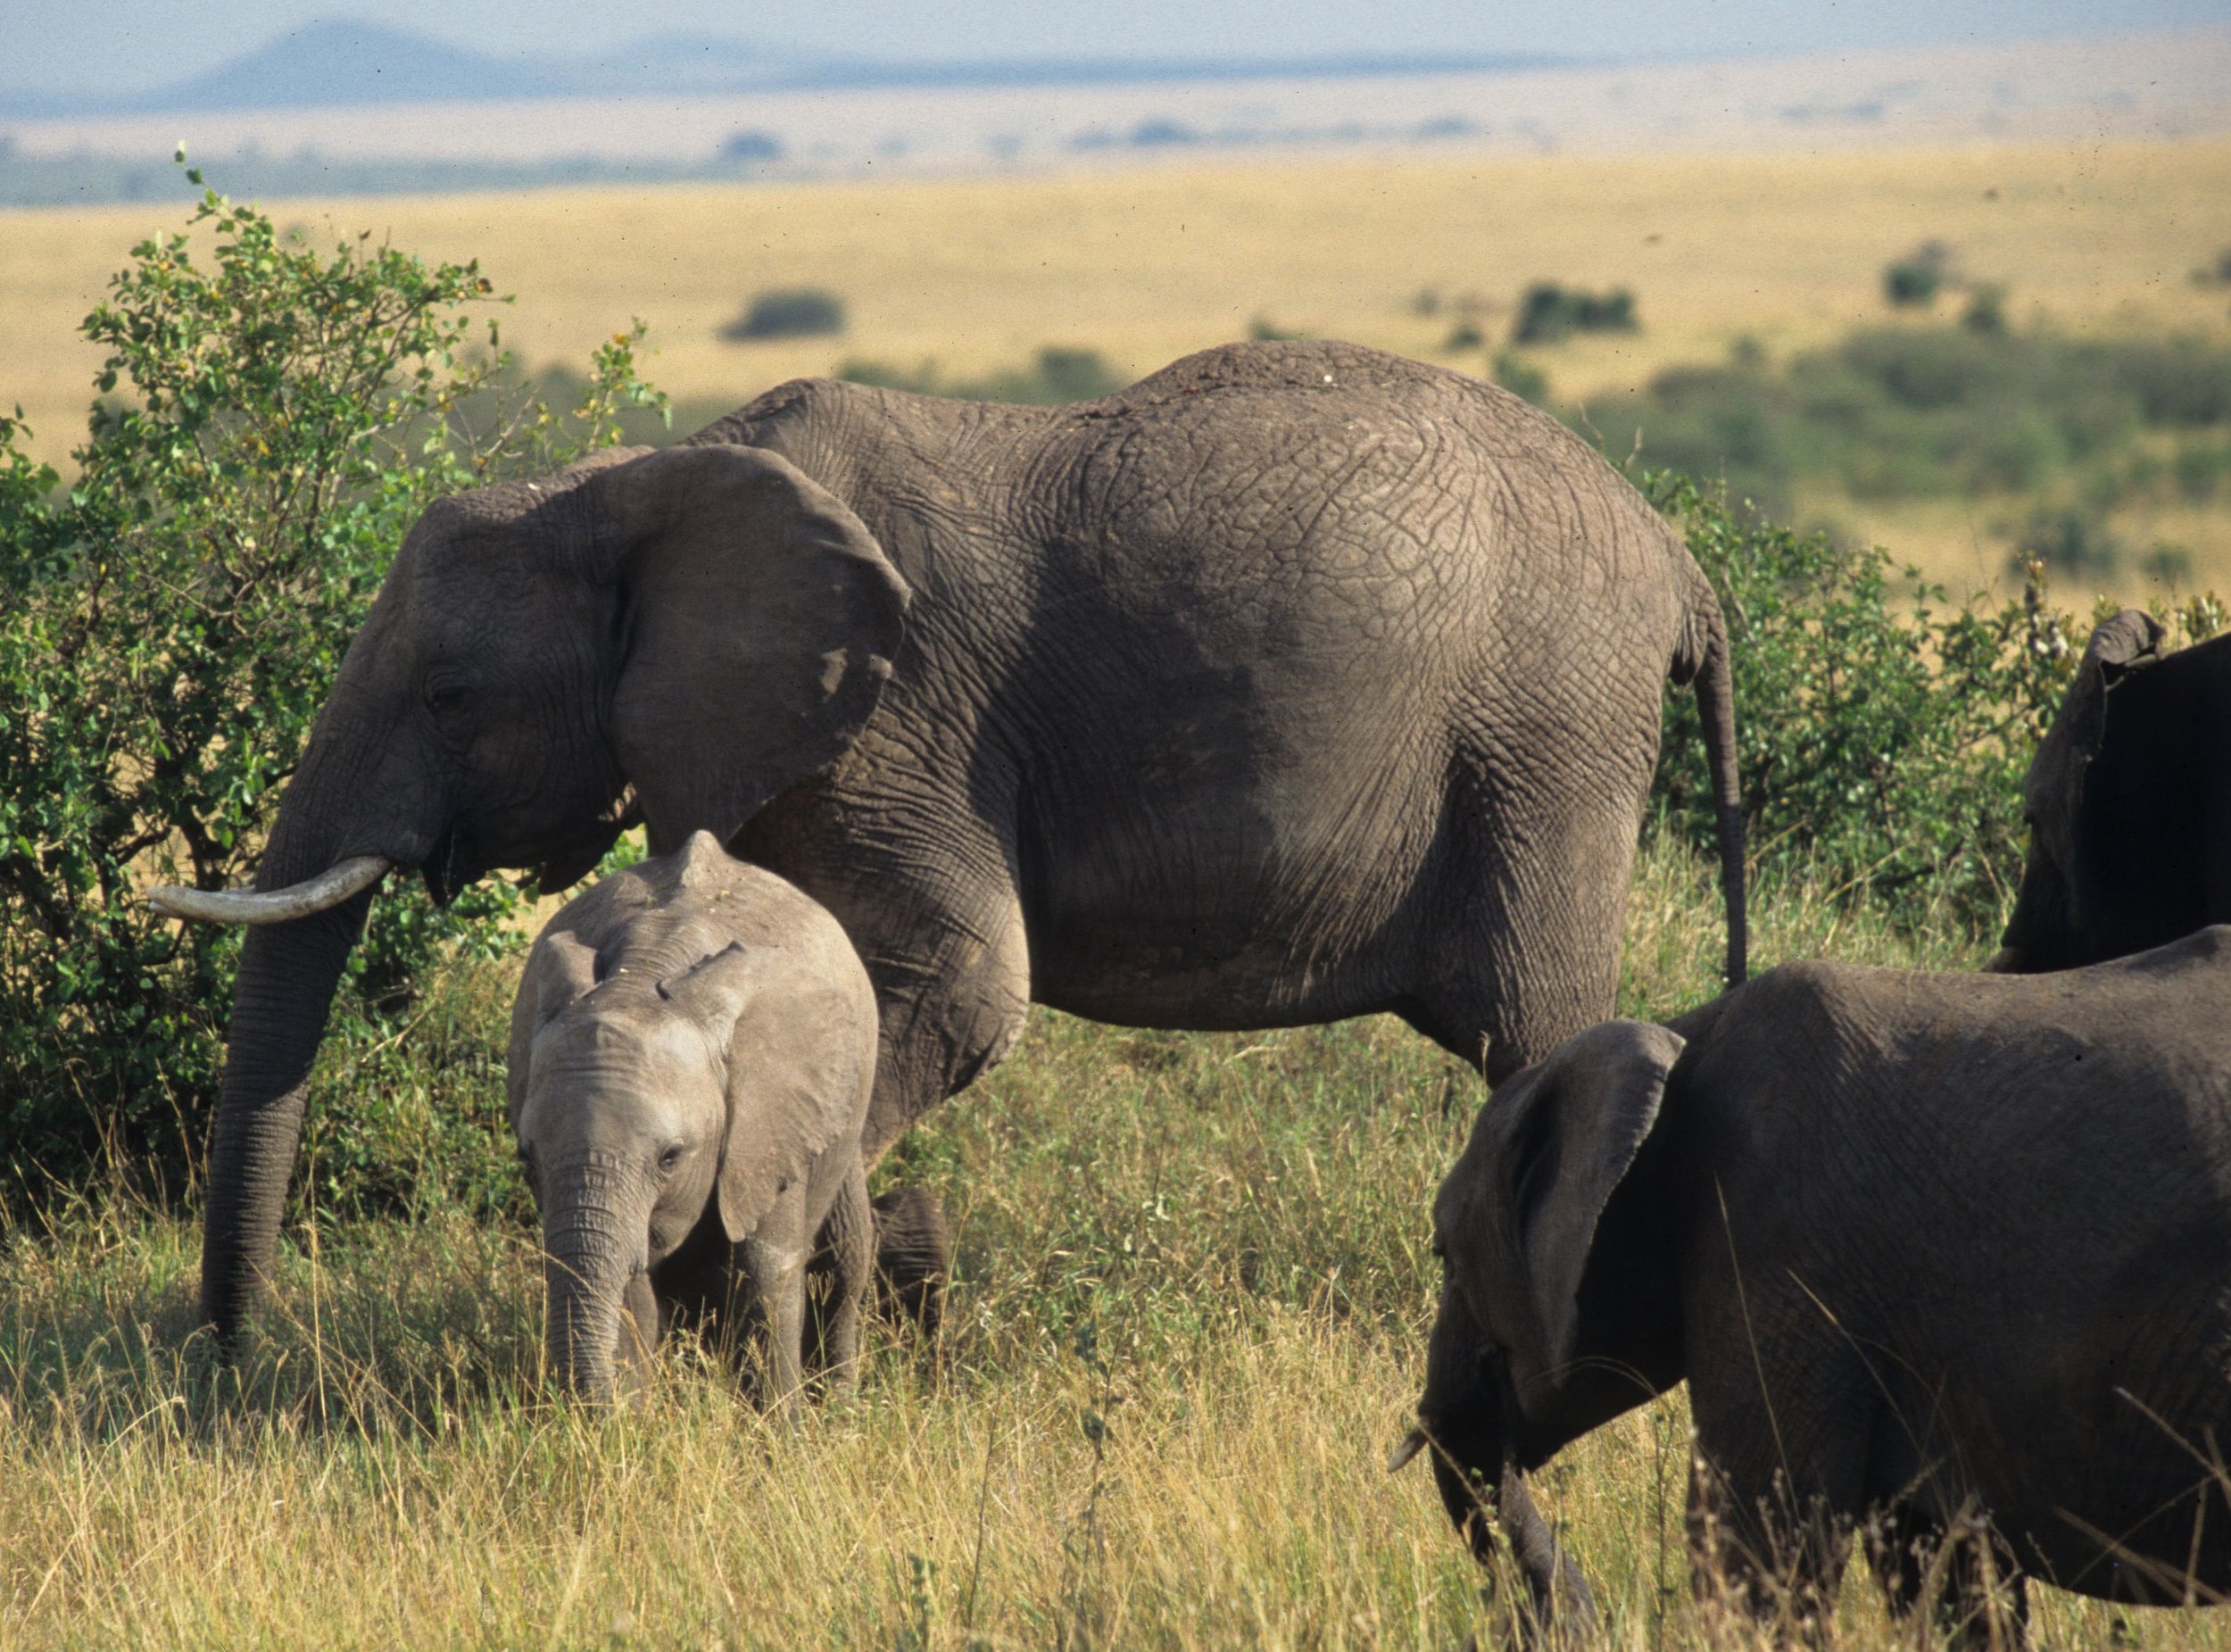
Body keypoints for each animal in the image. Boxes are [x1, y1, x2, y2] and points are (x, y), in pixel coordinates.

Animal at [148, 337, 1747, 1344]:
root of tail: (1678, 555)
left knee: (1538, 1026)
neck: (638, 482)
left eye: (452, 694)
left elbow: (965, 989)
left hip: (1546, 739)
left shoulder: (903, 715)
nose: (224, 1352)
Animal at [508, 830, 876, 1403]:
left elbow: (767, 1269)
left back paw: (840, 1412)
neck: (641, 976)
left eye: (670, 1157)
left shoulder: (771, 1123)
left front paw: (779, 1424)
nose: (595, 1408)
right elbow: (634, 1287)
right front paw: (633, 1417)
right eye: (527, 1158)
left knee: (843, 1264)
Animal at [1402, 929, 2231, 1642]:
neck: (1677, 1040)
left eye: (1443, 1249)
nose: (1558, 1618)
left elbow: (1759, 1548)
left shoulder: (1781, 1247)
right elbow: (1949, 1576)